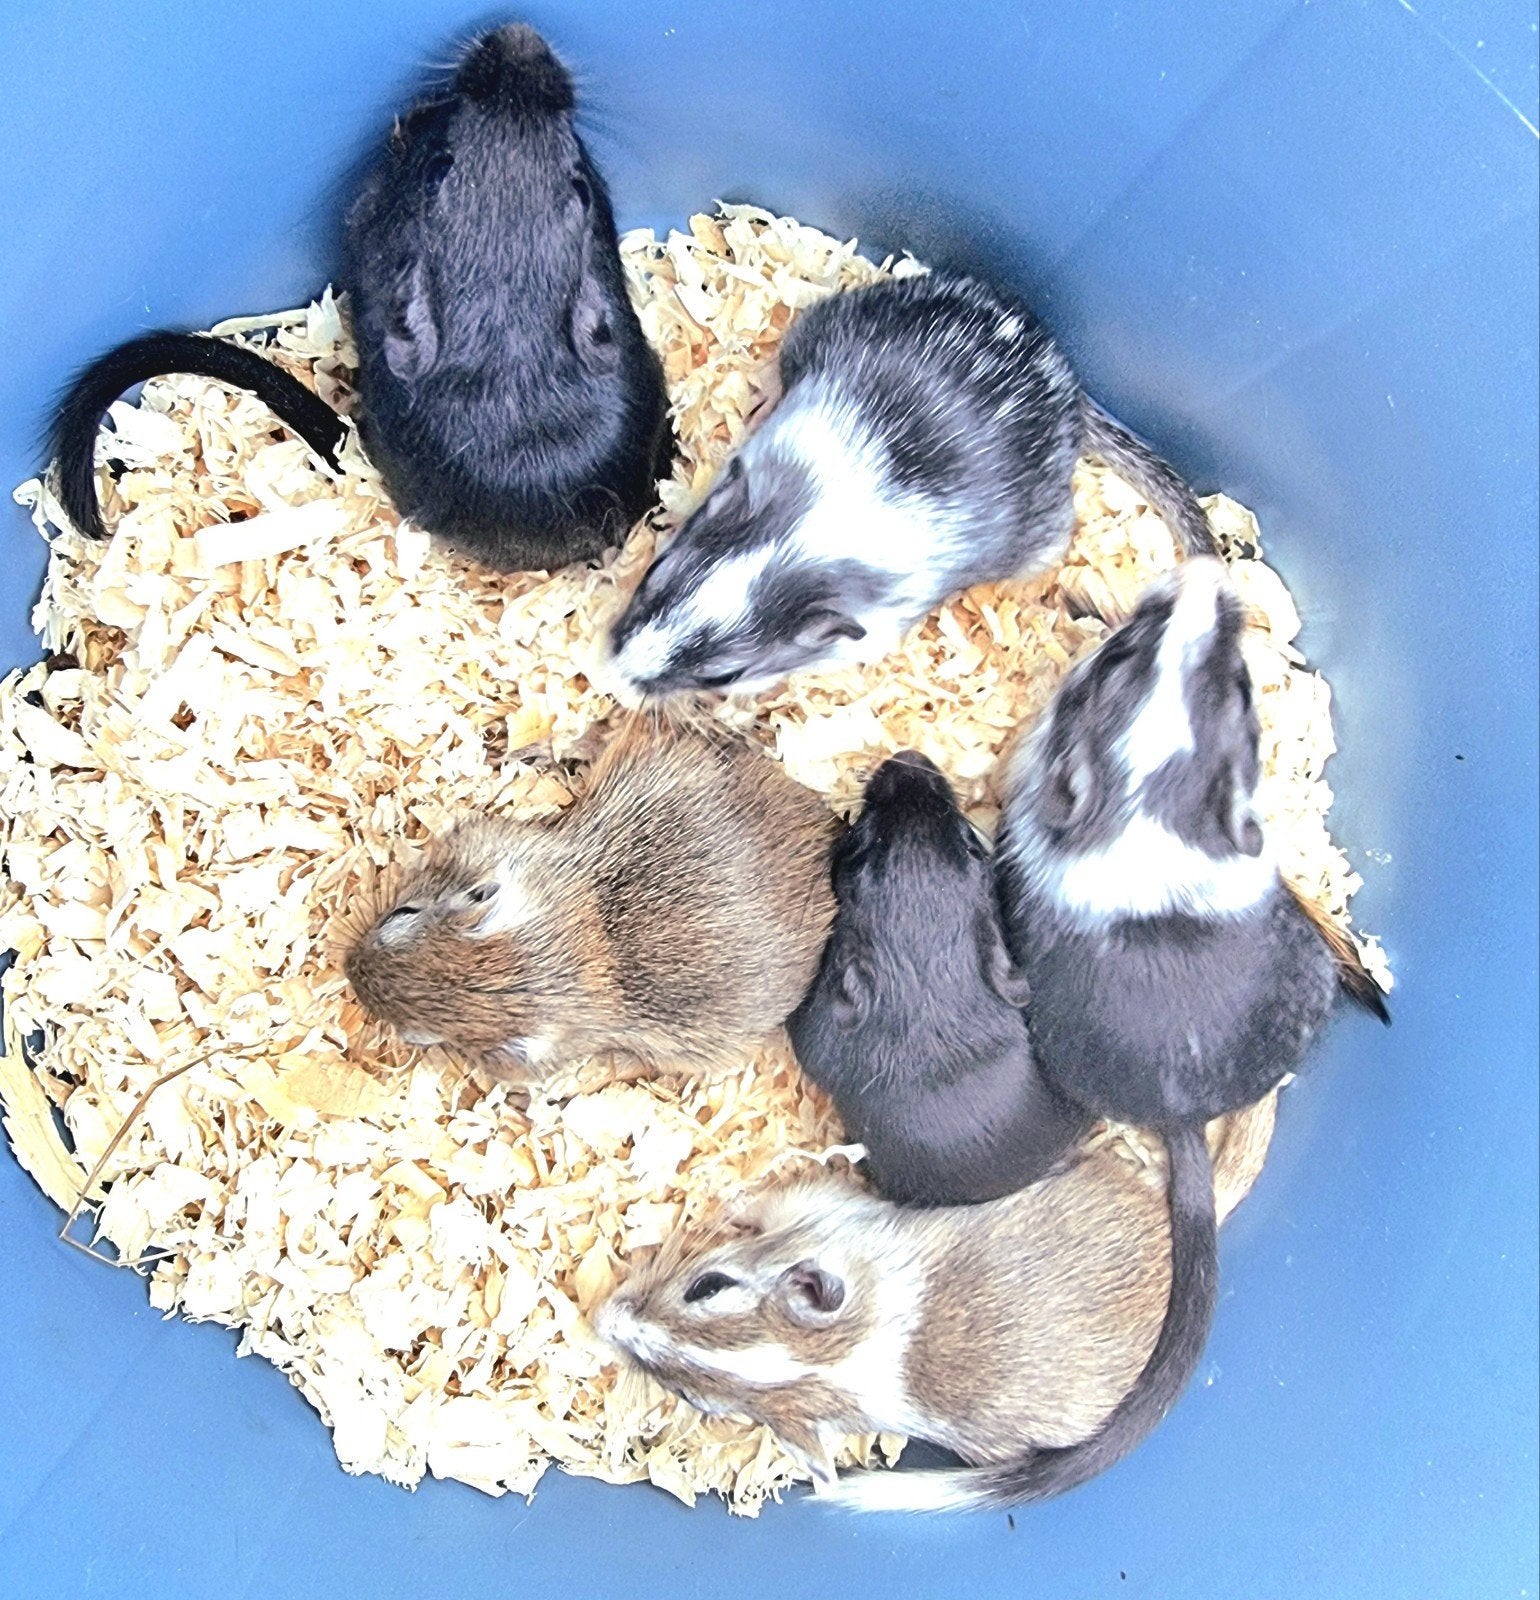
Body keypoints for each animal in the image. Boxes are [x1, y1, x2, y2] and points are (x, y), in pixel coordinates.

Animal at [593, 1106, 1271, 1505]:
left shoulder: (823, 1200)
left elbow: (762, 1200)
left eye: (707, 1286)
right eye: (691, 1398)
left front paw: (730, 1195)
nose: (601, 1322)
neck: (834, 1354)